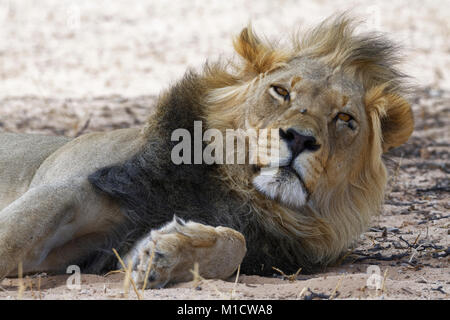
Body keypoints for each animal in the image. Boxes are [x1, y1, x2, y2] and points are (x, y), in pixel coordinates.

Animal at [0, 15, 414, 290]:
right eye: (281, 91)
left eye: (344, 118)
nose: (299, 139)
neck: (236, 190)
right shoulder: (68, 189)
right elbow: (12, 238)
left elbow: (235, 243)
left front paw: (166, 253)